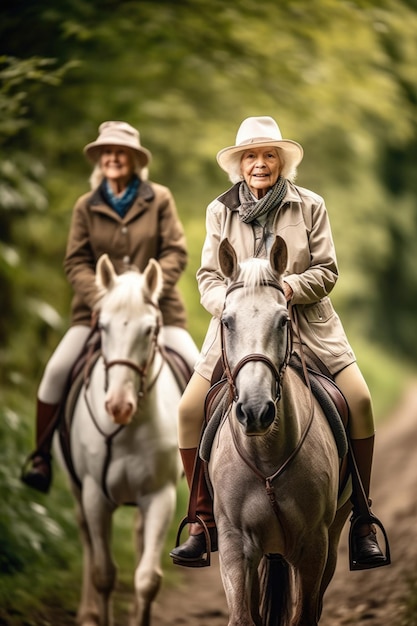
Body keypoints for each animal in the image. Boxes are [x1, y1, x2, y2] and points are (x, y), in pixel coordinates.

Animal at [57, 254, 182, 624]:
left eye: (150, 329)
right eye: (103, 327)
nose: (118, 406)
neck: (129, 428)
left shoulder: (160, 496)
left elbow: (147, 578)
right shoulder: (95, 496)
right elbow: (104, 574)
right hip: (77, 489)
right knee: (86, 540)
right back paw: (86, 613)